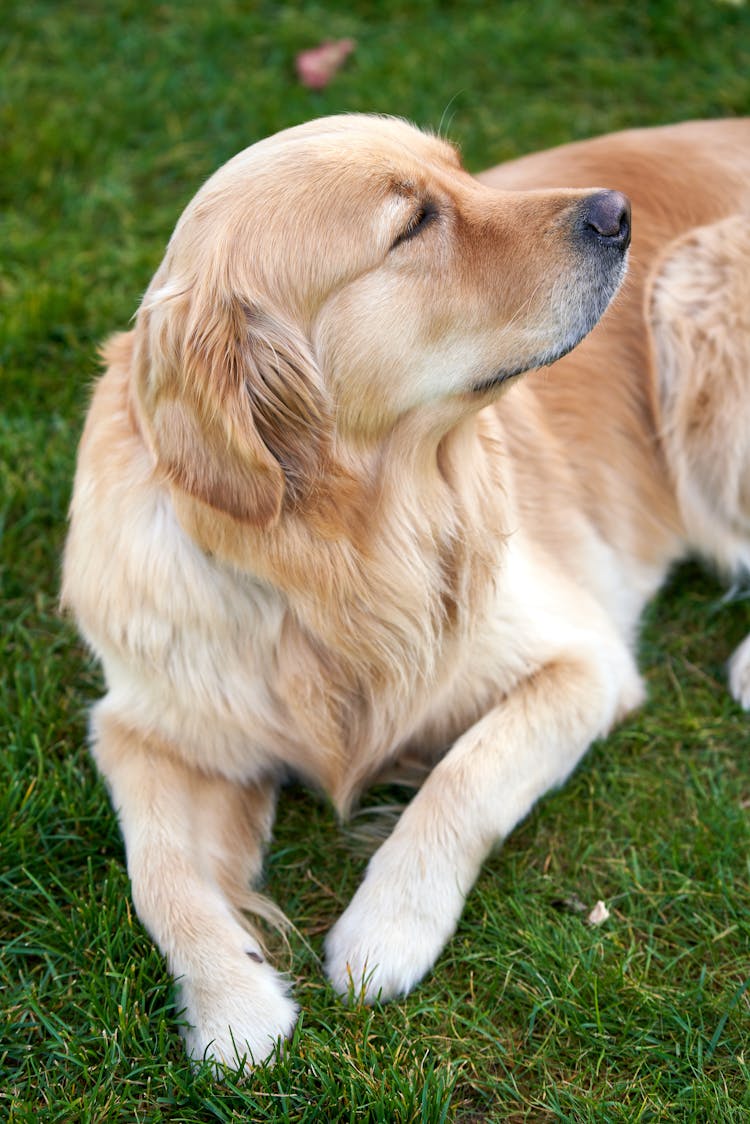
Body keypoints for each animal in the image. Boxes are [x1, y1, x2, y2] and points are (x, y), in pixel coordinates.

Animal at [61, 114, 750, 1070]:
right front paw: (234, 1007)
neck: (334, 559)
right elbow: (157, 873)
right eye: (415, 224)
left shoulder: (585, 662)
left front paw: (385, 931)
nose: (618, 213)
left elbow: (467, 775)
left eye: (463, 175)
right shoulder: (144, 726)